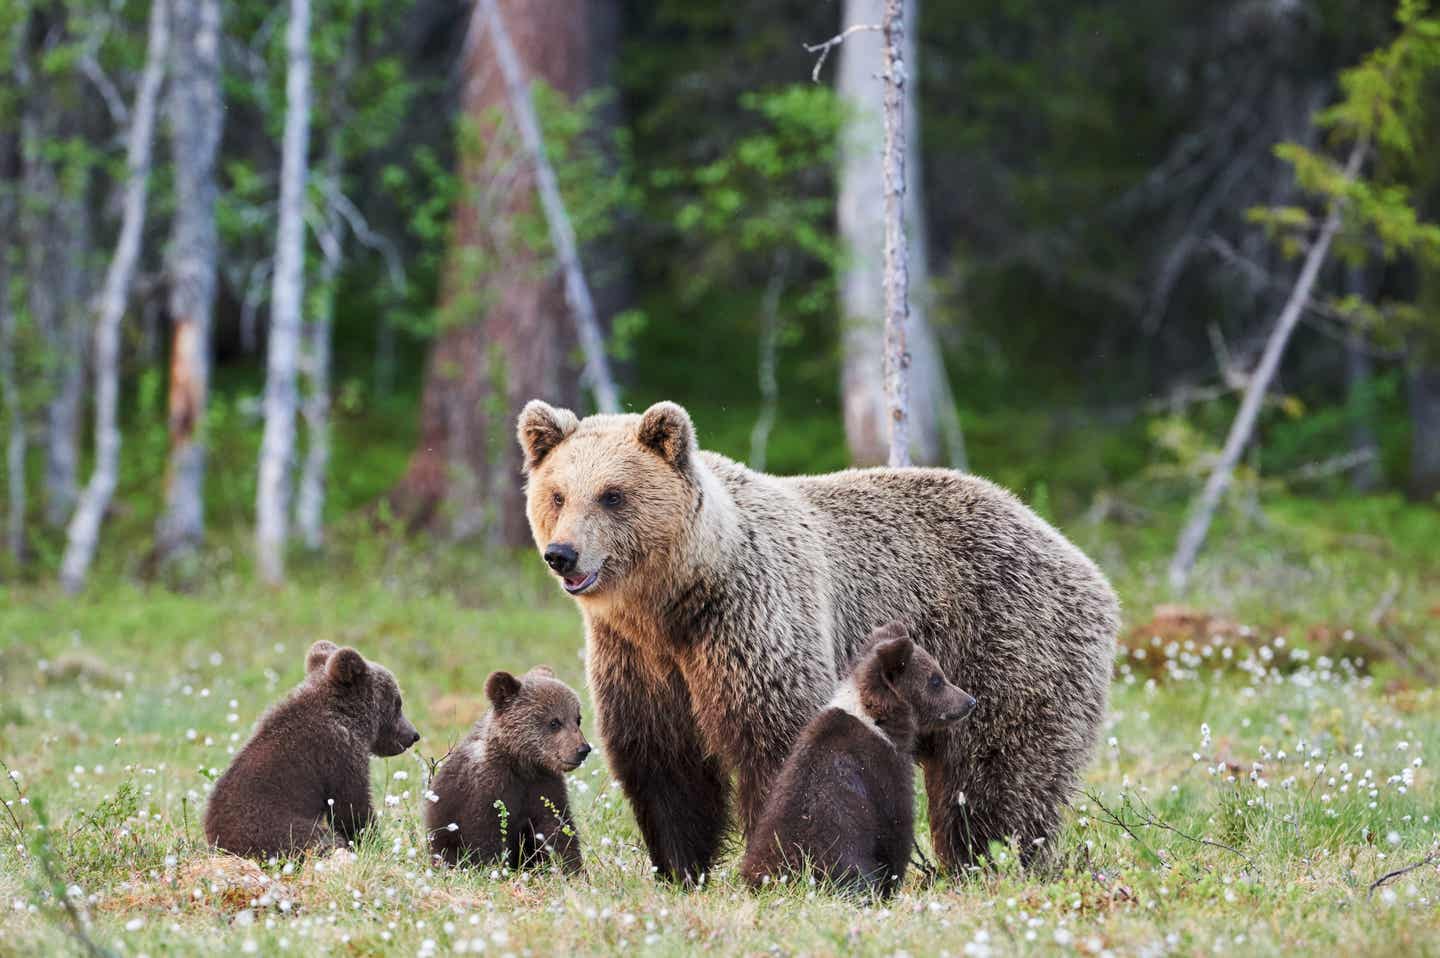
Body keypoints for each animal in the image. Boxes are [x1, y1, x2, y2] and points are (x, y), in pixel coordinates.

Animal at [512, 394, 1117, 881]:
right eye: (558, 494)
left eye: (612, 495)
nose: (562, 554)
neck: (675, 599)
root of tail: (1073, 551)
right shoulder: (638, 659)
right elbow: (664, 765)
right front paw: (682, 870)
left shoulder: (751, 621)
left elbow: (778, 741)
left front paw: (784, 859)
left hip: (1006, 645)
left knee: (997, 776)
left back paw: (993, 860)